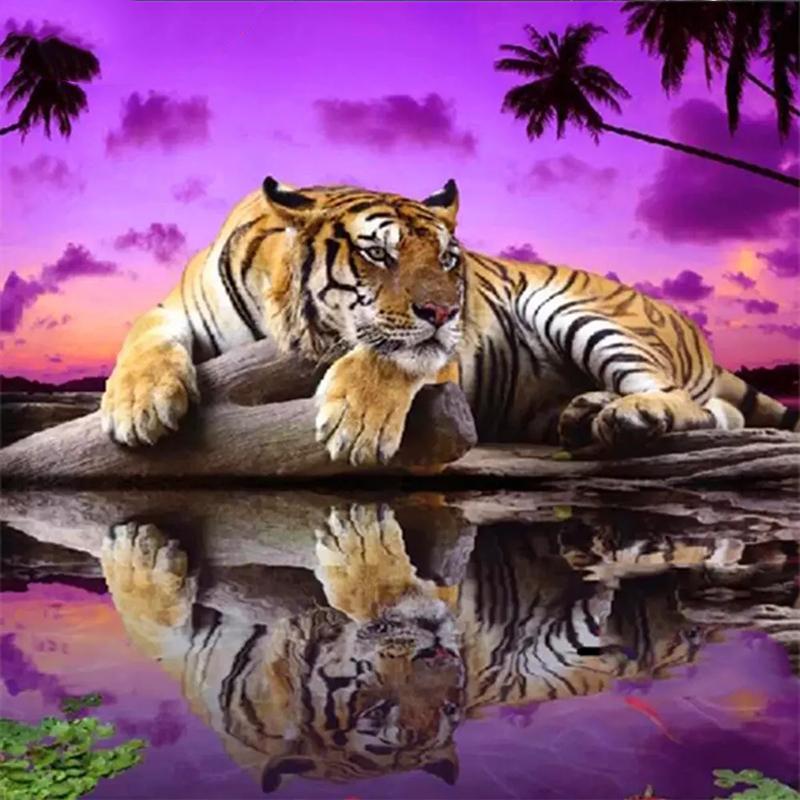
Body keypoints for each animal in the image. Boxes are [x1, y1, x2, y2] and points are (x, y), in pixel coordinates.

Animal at [100, 177, 799, 463]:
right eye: (377, 253)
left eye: (446, 258)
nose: (443, 310)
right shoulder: (175, 308)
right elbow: (142, 336)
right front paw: (138, 406)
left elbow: (391, 355)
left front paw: (356, 425)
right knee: (718, 411)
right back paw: (584, 414)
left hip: (578, 310)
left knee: (690, 403)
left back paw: (631, 416)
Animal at [100, 504, 715, 794]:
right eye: (376, 710)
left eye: (447, 709)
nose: (444, 656)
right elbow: (153, 626)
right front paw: (142, 550)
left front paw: (360, 542)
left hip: (574, 644)